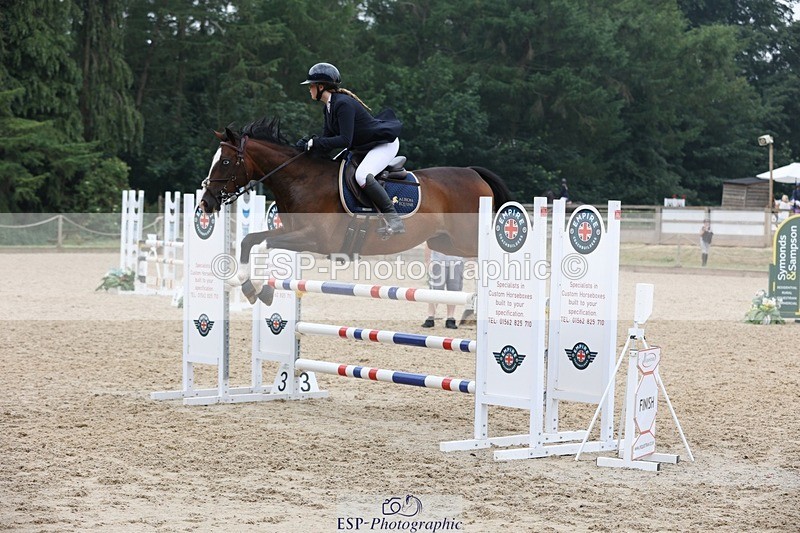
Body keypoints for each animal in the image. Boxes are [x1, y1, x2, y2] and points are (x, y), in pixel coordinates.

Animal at [200, 117, 512, 305]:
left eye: (225, 162)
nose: (205, 203)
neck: (302, 180)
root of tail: (474, 173)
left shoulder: (315, 238)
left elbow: (264, 244)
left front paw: (259, 288)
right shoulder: (290, 231)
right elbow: (248, 240)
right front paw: (247, 285)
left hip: (465, 239)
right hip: (444, 242)